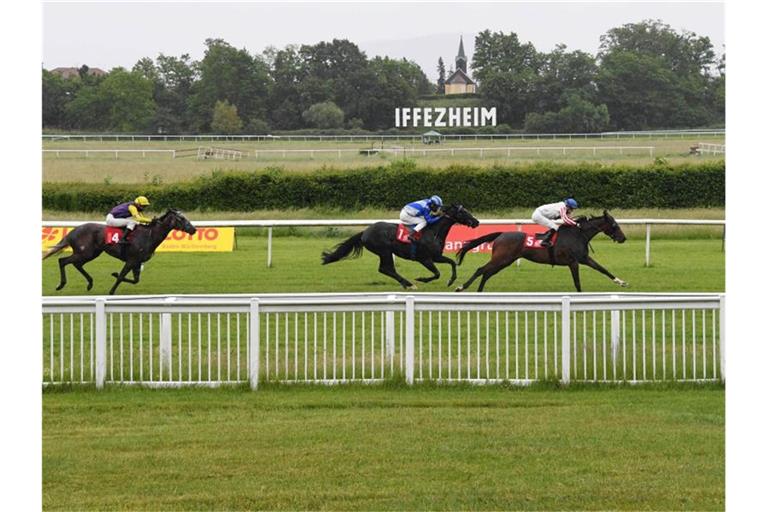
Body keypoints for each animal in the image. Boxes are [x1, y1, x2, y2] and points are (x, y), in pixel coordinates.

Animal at [43, 209, 196, 296]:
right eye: (181, 219)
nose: (194, 229)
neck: (149, 235)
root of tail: (73, 231)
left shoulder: (137, 262)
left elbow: (135, 280)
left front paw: (114, 274)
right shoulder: (131, 260)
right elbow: (122, 276)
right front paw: (111, 290)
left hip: (92, 253)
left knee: (76, 264)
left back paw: (90, 283)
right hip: (84, 252)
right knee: (63, 261)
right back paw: (61, 285)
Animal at [456, 210, 624, 292]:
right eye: (614, 225)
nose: (623, 238)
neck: (578, 234)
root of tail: (502, 233)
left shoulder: (584, 259)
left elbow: (602, 269)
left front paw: (621, 282)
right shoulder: (573, 262)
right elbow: (577, 282)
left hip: (505, 261)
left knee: (487, 273)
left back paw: (480, 291)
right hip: (501, 258)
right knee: (481, 270)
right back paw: (461, 287)